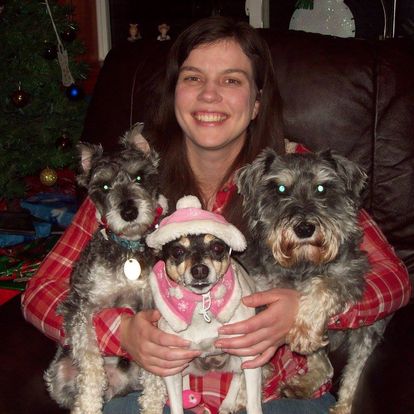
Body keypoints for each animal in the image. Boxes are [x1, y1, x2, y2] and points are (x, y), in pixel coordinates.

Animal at [44, 123, 167, 414]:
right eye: (104, 185)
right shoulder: (80, 305)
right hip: (57, 375)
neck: (128, 250)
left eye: (139, 177)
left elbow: (155, 374)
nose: (129, 212)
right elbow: (89, 361)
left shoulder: (152, 310)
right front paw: (88, 405)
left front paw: (153, 404)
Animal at [236, 149, 388, 414]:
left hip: (368, 331)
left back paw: (342, 406)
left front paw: (304, 331)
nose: (305, 228)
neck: (301, 262)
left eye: (321, 188)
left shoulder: (349, 273)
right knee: (325, 366)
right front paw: (244, 393)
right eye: (280, 189)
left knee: (353, 372)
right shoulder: (257, 295)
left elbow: (322, 285)